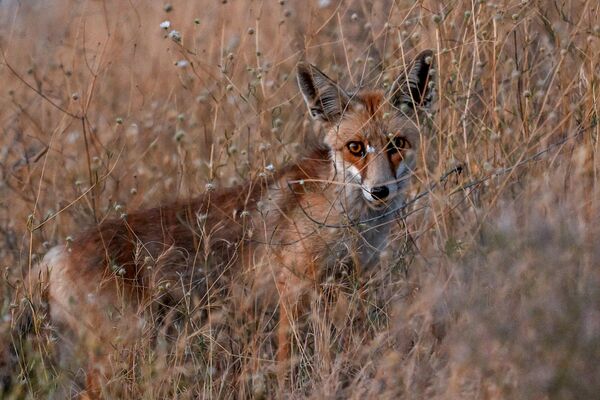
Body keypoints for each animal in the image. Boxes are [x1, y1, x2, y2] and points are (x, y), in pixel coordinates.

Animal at [11, 49, 434, 396]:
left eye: (396, 145)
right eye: (356, 148)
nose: (380, 191)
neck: (352, 220)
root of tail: (54, 254)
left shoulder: (349, 284)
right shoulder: (295, 289)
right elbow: (289, 362)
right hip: (121, 353)